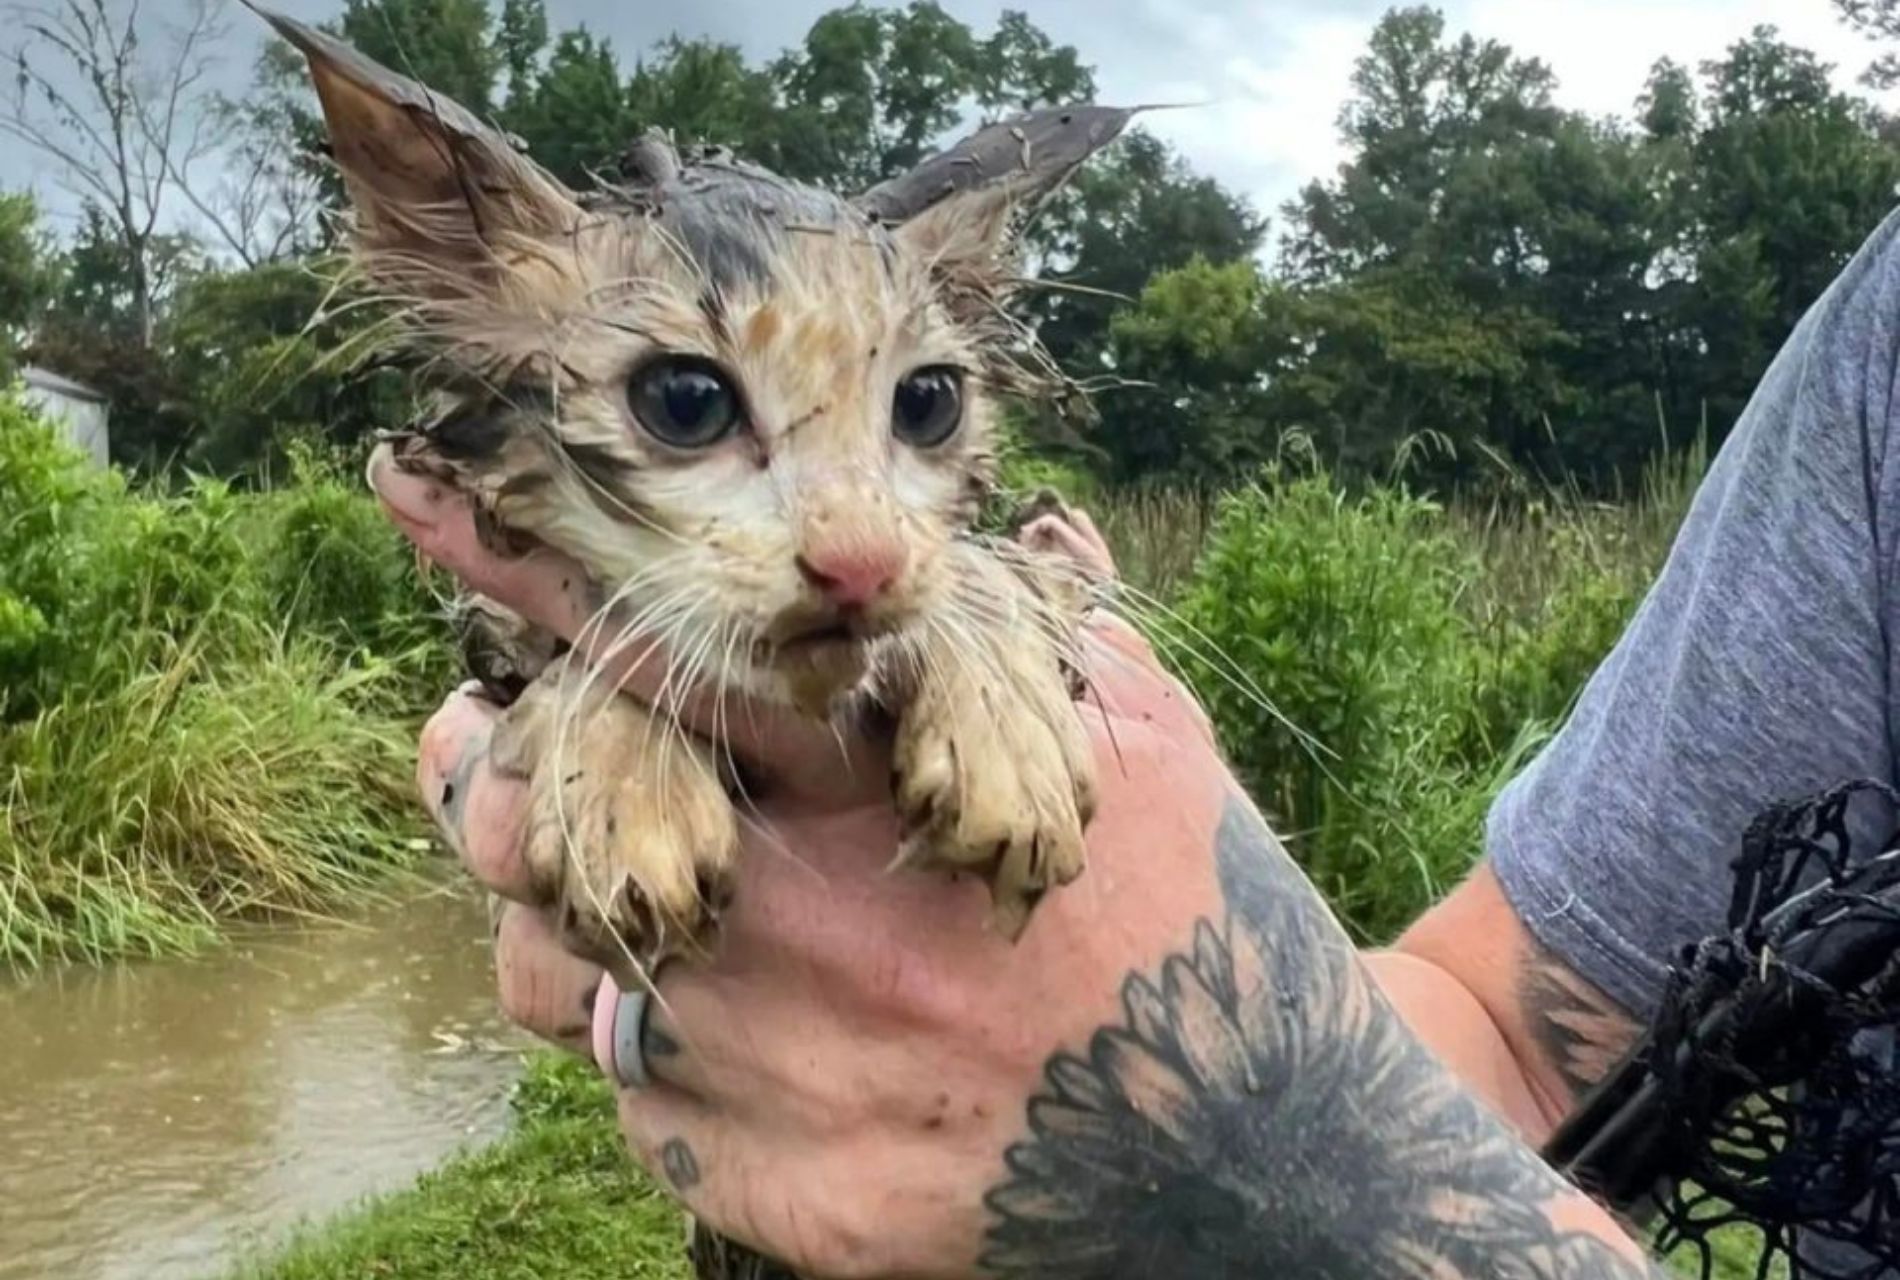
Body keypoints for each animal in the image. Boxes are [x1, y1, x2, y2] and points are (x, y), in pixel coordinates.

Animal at [264, 9, 1124, 979]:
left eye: (929, 402)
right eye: (687, 401)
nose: (861, 563)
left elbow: (988, 563)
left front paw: (1009, 733)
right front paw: (629, 784)